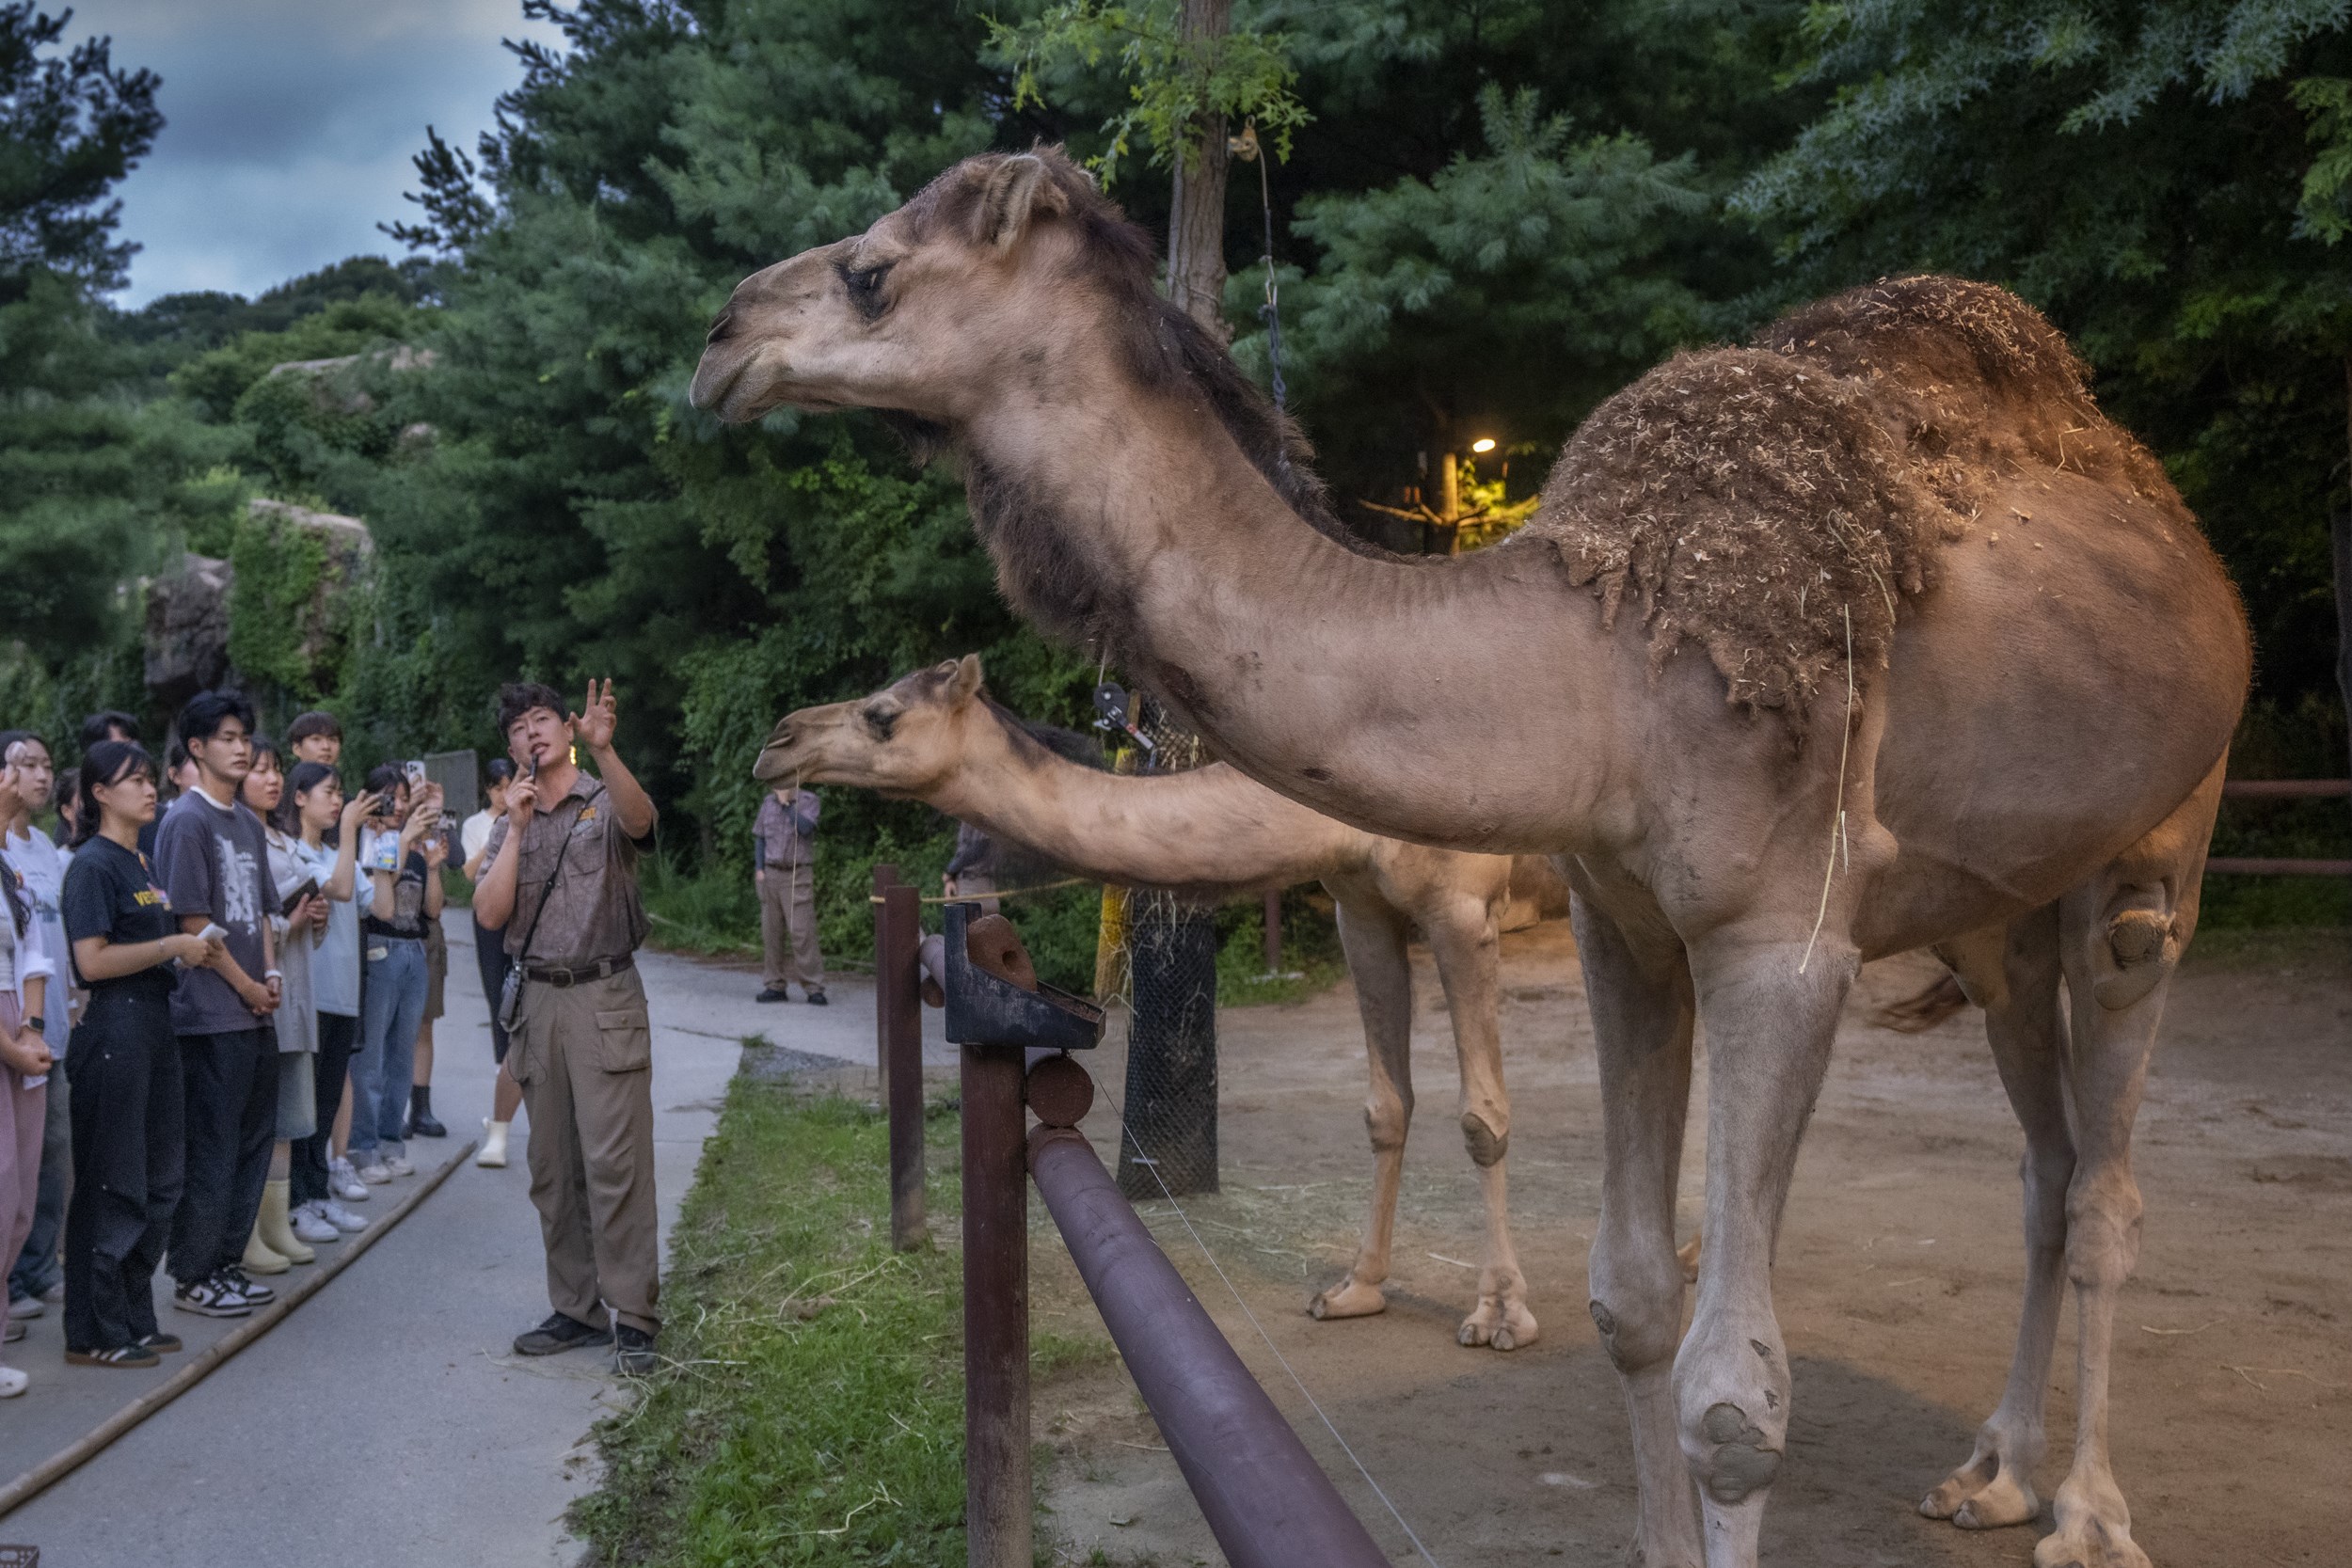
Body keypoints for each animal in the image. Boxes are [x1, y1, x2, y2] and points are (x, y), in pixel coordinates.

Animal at [762, 648, 1581, 1354]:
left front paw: (1500, 1312)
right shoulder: (1362, 906)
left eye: (883, 714)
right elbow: (1385, 1106)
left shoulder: (1461, 906)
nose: (777, 742)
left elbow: (1480, 1114)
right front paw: (1355, 1287)